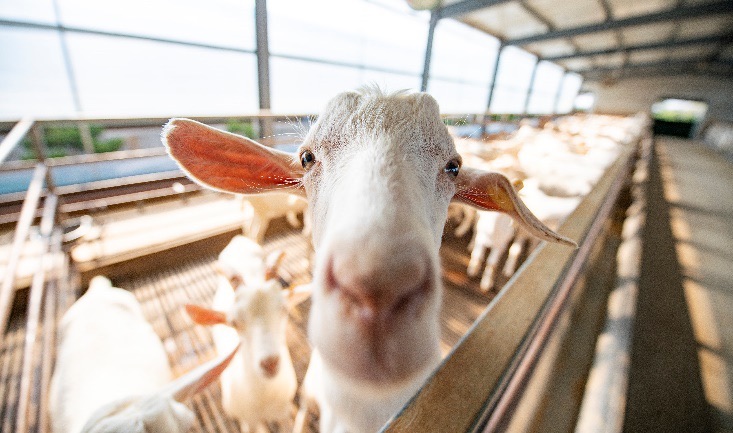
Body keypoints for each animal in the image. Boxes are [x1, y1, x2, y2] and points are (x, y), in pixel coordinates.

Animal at [186, 236, 308, 432]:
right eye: (234, 322)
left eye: (284, 309)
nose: (270, 363)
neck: (263, 399)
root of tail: (237, 239)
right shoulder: (247, 420)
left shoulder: (282, 412)